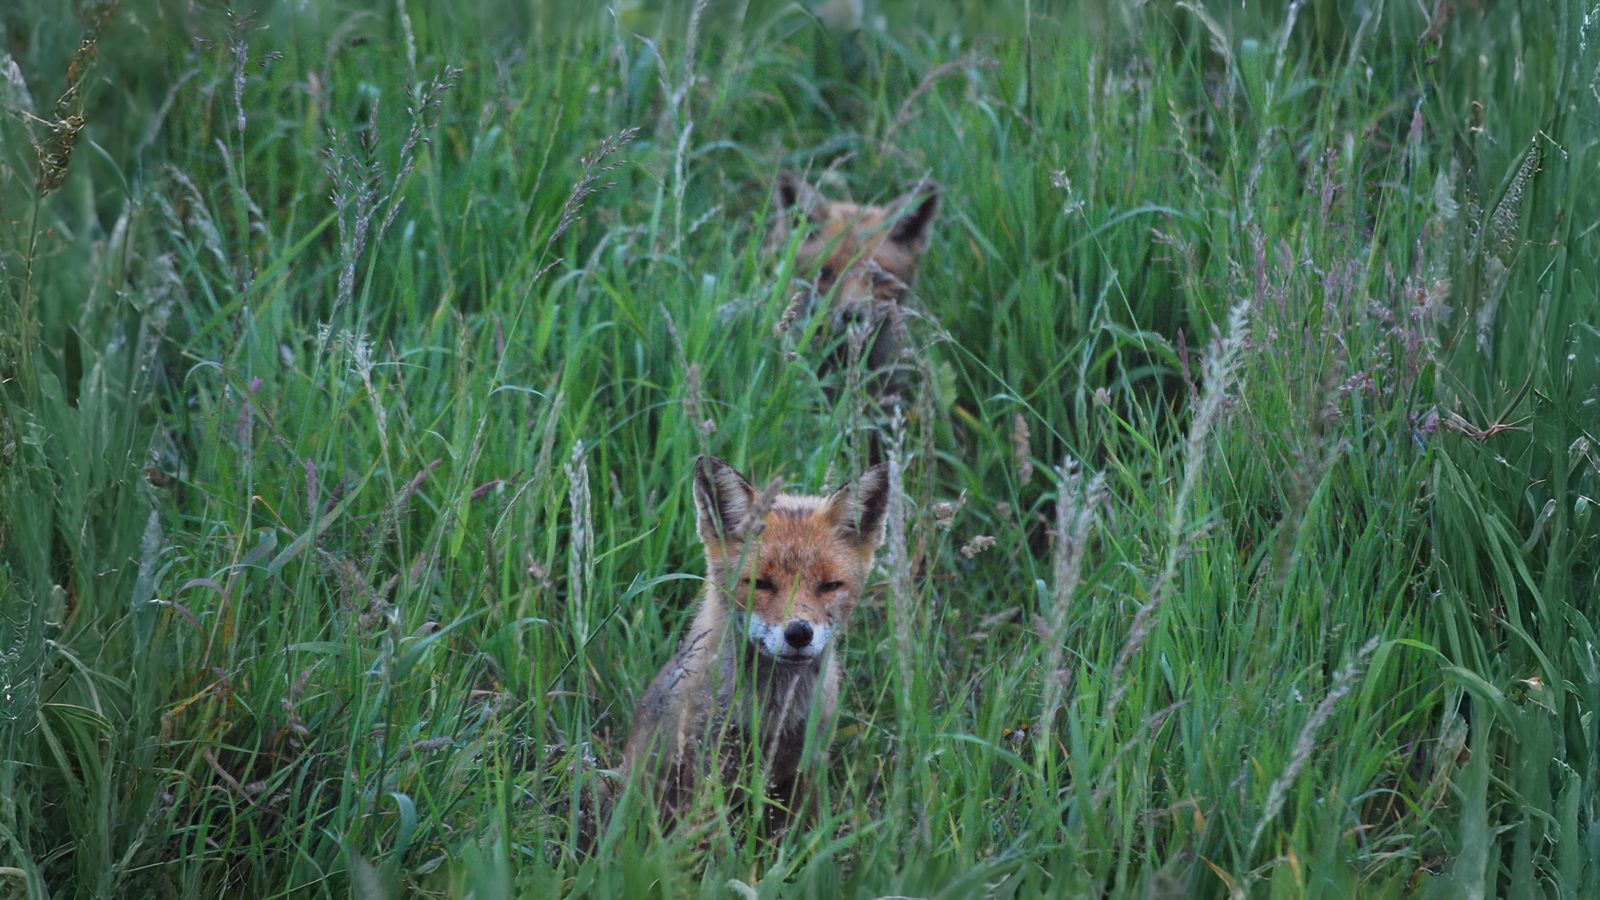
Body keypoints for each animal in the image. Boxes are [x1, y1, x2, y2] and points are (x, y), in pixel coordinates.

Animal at [588, 455, 890, 846]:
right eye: (760, 583)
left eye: (829, 586)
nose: (798, 633)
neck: (769, 717)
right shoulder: (706, 774)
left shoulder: (804, 769)